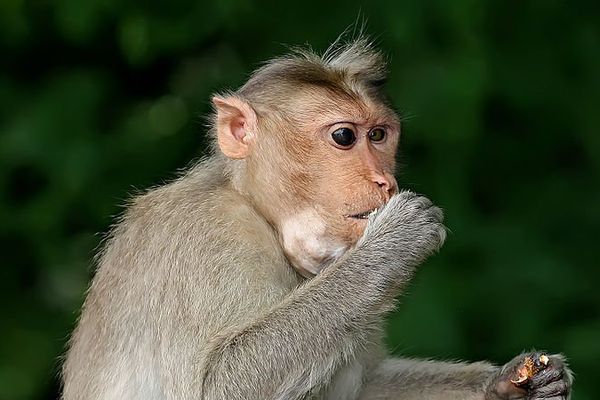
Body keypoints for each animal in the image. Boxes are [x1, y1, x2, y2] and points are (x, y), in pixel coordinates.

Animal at [61, 38, 572, 400]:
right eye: (344, 137)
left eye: (380, 135)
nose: (385, 181)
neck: (262, 215)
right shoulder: (204, 238)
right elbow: (217, 384)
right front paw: (392, 243)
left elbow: (363, 387)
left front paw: (508, 384)